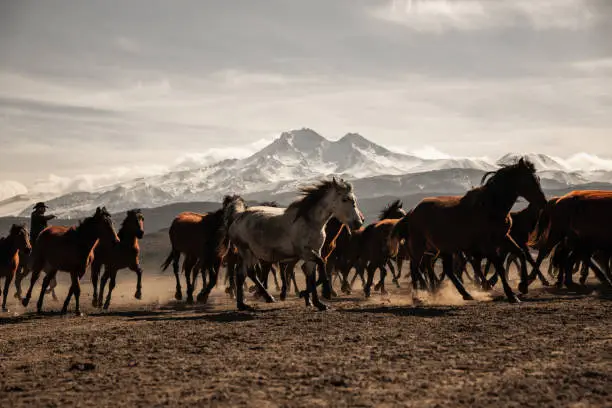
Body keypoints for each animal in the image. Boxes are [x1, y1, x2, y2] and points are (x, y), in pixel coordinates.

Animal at [220, 177, 364, 310]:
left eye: (354, 199)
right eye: (345, 199)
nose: (358, 222)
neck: (310, 222)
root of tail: (238, 216)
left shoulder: (314, 252)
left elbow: (312, 276)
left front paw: (318, 303)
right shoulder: (305, 252)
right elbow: (321, 266)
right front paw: (310, 294)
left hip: (252, 254)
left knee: (245, 273)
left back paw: (249, 303)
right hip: (246, 251)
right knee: (246, 274)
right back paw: (255, 301)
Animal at [392, 159, 544, 302]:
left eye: (537, 179)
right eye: (529, 180)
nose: (542, 201)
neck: (491, 206)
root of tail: (411, 212)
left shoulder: (503, 237)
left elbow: (521, 253)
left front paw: (523, 286)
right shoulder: (487, 245)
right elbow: (499, 266)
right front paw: (511, 295)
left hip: (444, 248)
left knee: (446, 270)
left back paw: (465, 294)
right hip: (419, 246)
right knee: (415, 269)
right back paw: (417, 297)